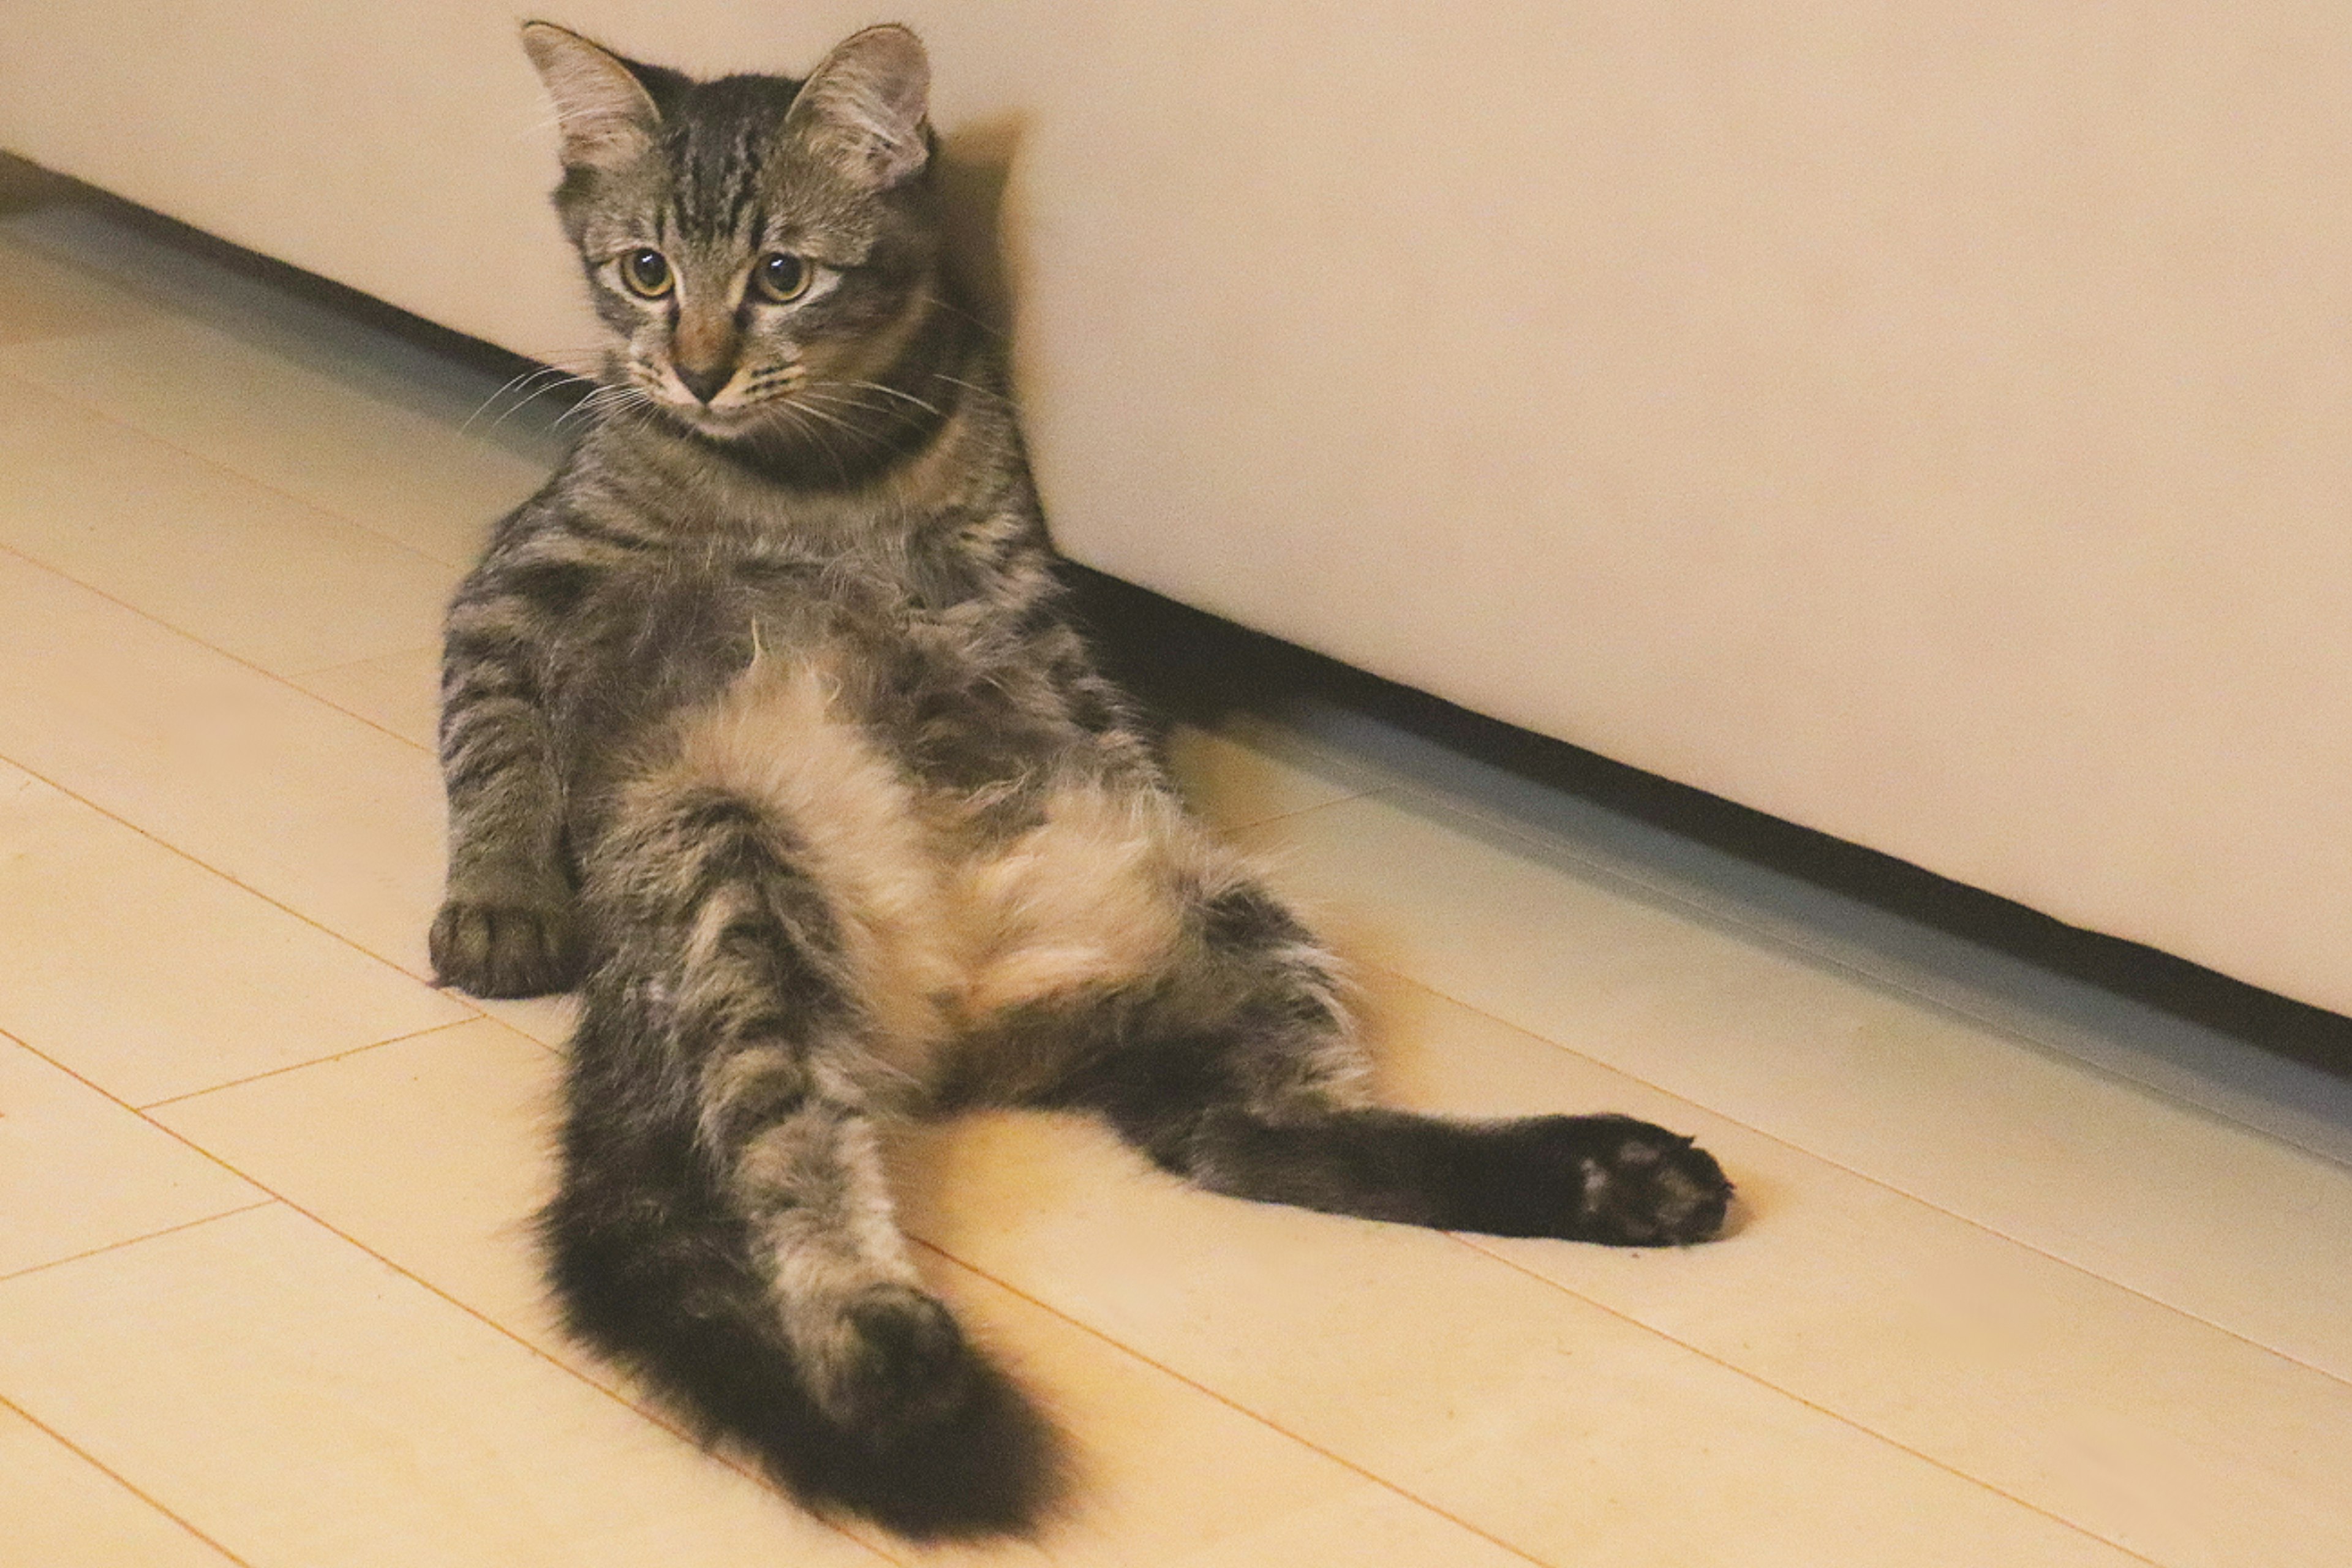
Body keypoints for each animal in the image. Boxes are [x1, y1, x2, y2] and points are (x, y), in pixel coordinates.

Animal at [432, 21, 1740, 1542]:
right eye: (646, 270)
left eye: (782, 276)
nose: (694, 371)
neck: (813, 478)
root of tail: (969, 997)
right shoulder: (518, 582)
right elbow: (492, 749)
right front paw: (502, 895)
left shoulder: (1029, 601)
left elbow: (1109, 716)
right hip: (729, 880)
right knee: (785, 1159)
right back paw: (881, 1349)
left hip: (1226, 911)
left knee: (1246, 1136)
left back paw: (1617, 1175)